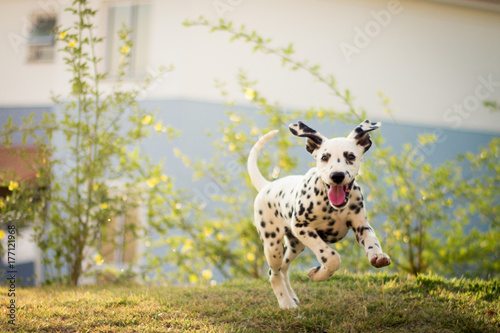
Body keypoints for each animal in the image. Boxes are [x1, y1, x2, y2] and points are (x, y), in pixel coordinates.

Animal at [248, 120, 392, 308]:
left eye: (351, 156)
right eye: (324, 157)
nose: (337, 175)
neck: (332, 206)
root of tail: (267, 185)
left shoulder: (362, 227)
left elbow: (372, 241)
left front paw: (377, 256)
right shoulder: (302, 227)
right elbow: (330, 257)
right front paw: (319, 274)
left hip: (295, 245)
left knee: (284, 269)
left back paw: (291, 296)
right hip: (273, 245)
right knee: (274, 273)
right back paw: (286, 303)